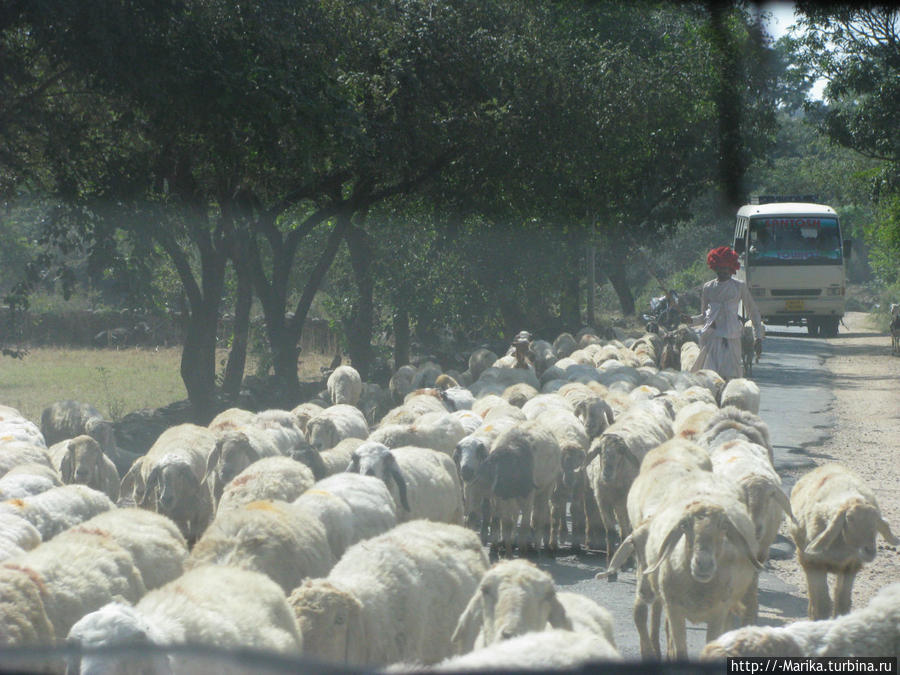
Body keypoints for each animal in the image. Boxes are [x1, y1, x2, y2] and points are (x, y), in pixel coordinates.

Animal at [792, 462, 896, 620]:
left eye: (875, 523)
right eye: (849, 519)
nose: (870, 551)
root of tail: (830, 465)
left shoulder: (850, 567)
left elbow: (842, 602)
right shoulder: (815, 563)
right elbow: (822, 603)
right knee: (813, 597)